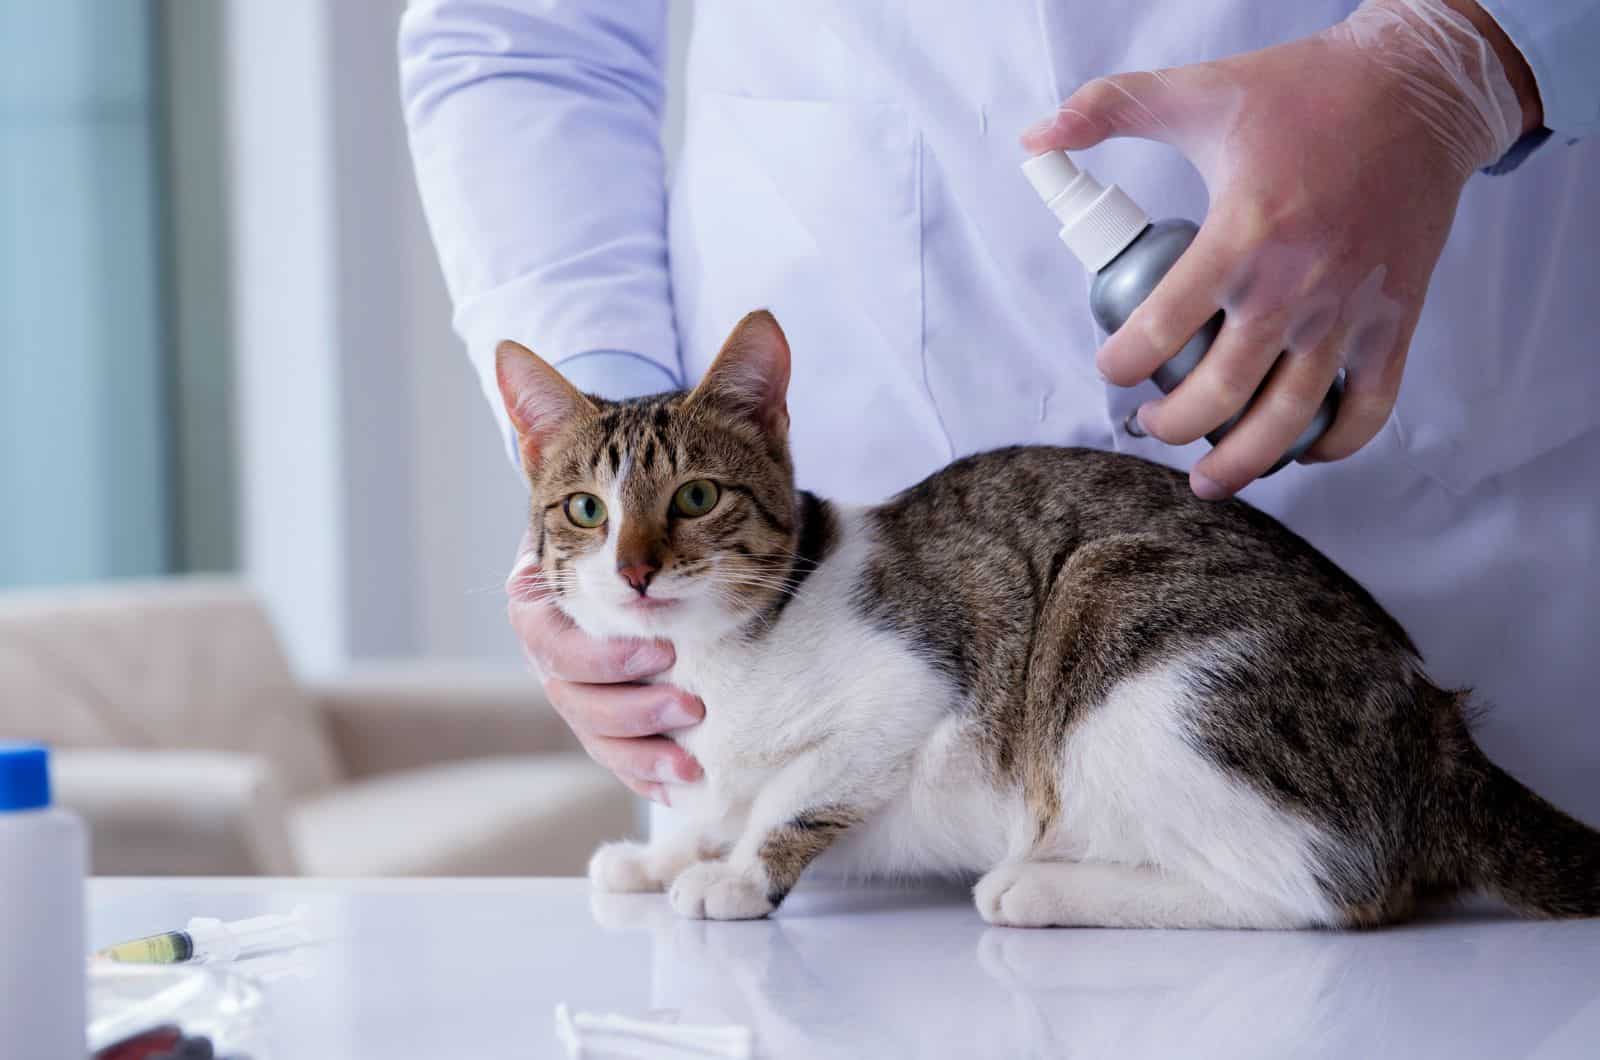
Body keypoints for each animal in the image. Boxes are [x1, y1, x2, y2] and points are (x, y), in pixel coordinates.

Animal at [496, 307, 1600, 928]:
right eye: (586, 510)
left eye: (694, 499)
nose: (635, 569)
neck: (718, 654)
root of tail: (1434, 729)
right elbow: (707, 799)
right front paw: (663, 853)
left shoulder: (915, 679)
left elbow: (798, 790)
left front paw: (734, 875)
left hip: (1120, 631)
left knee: (1317, 892)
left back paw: (1042, 888)